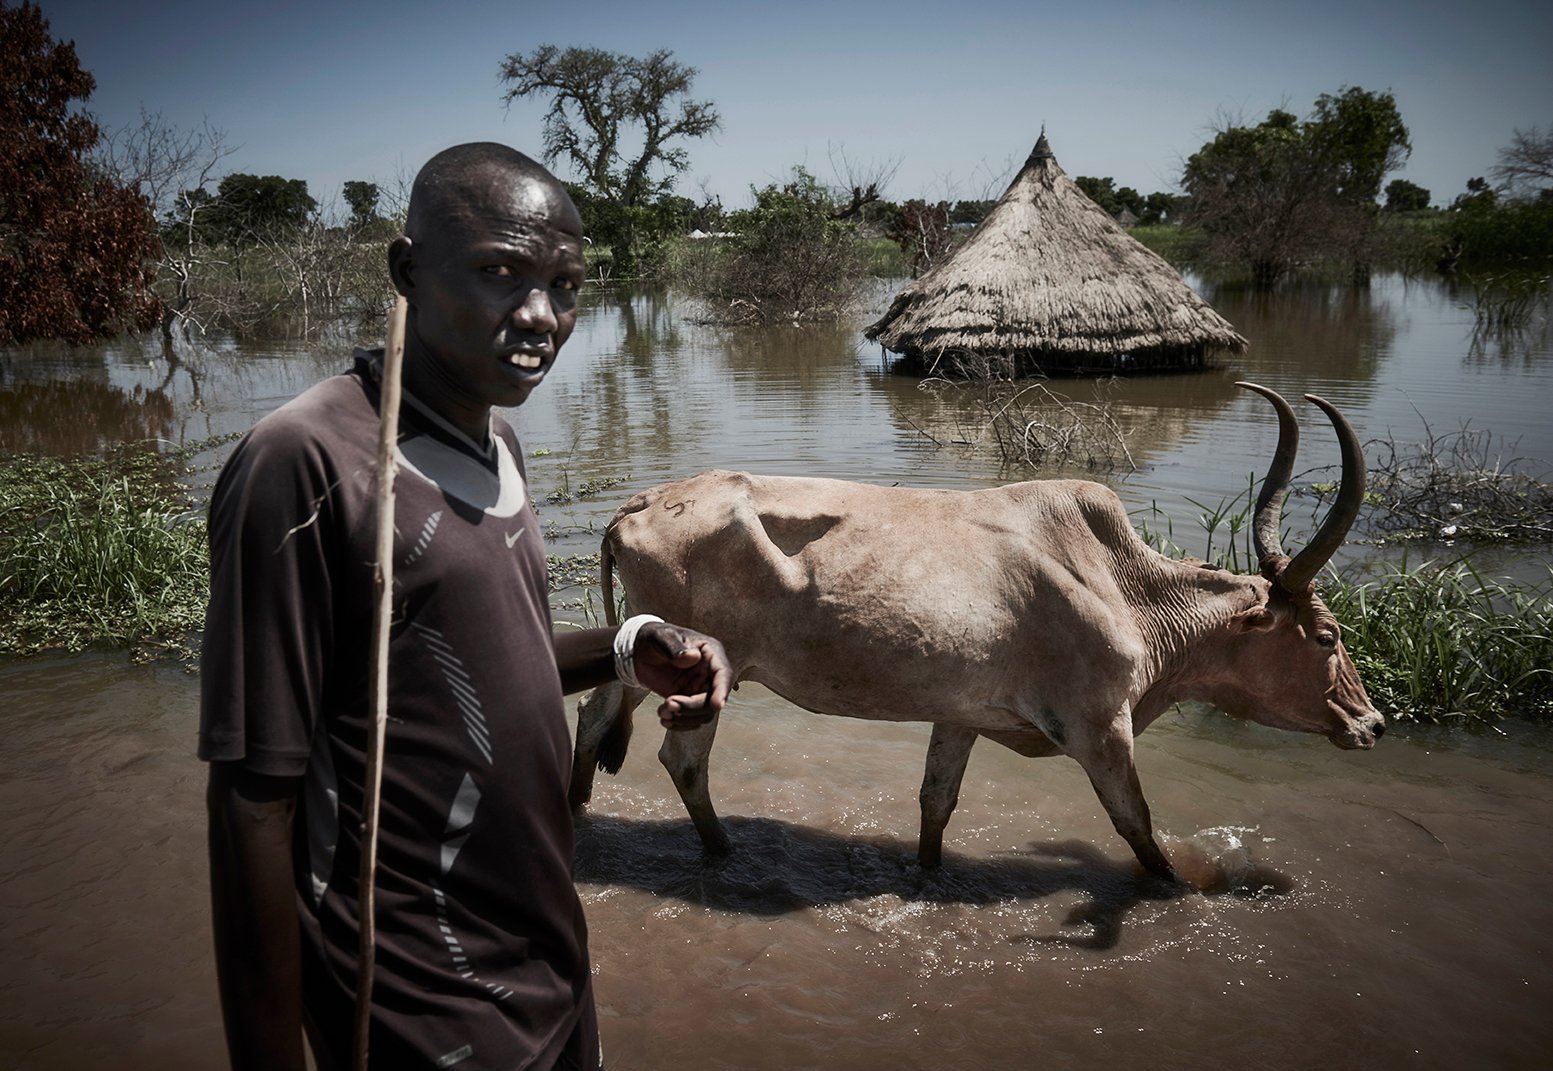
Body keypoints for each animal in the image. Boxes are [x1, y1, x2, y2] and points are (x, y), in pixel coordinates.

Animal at [571, 381, 1385, 875]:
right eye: (1327, 636)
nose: (1371, 723)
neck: (1125, 587)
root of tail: (641, 503)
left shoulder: (957, 716)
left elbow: (936, 807)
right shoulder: (1101, 730)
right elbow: (1140, 832)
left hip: (653, 653)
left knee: (595, 713)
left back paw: (578, 813)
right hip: (706, 672)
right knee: (682, 762)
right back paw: (723, 854)